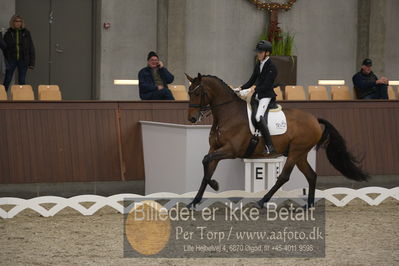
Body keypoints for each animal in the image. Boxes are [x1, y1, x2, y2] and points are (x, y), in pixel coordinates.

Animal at [186, 72, 370, 208]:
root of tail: (315, 120)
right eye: (188, 92)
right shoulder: (215, 149)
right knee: (311, 175)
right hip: (300, 154)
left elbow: (206, 161)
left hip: (296, 151)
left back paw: (262, 201)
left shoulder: (231, 150)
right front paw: (195, 201)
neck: (227, 114)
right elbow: (207, 168)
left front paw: (214, 185)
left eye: (198, 93)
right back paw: (309, 205)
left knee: (284, 176)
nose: (192, 119)